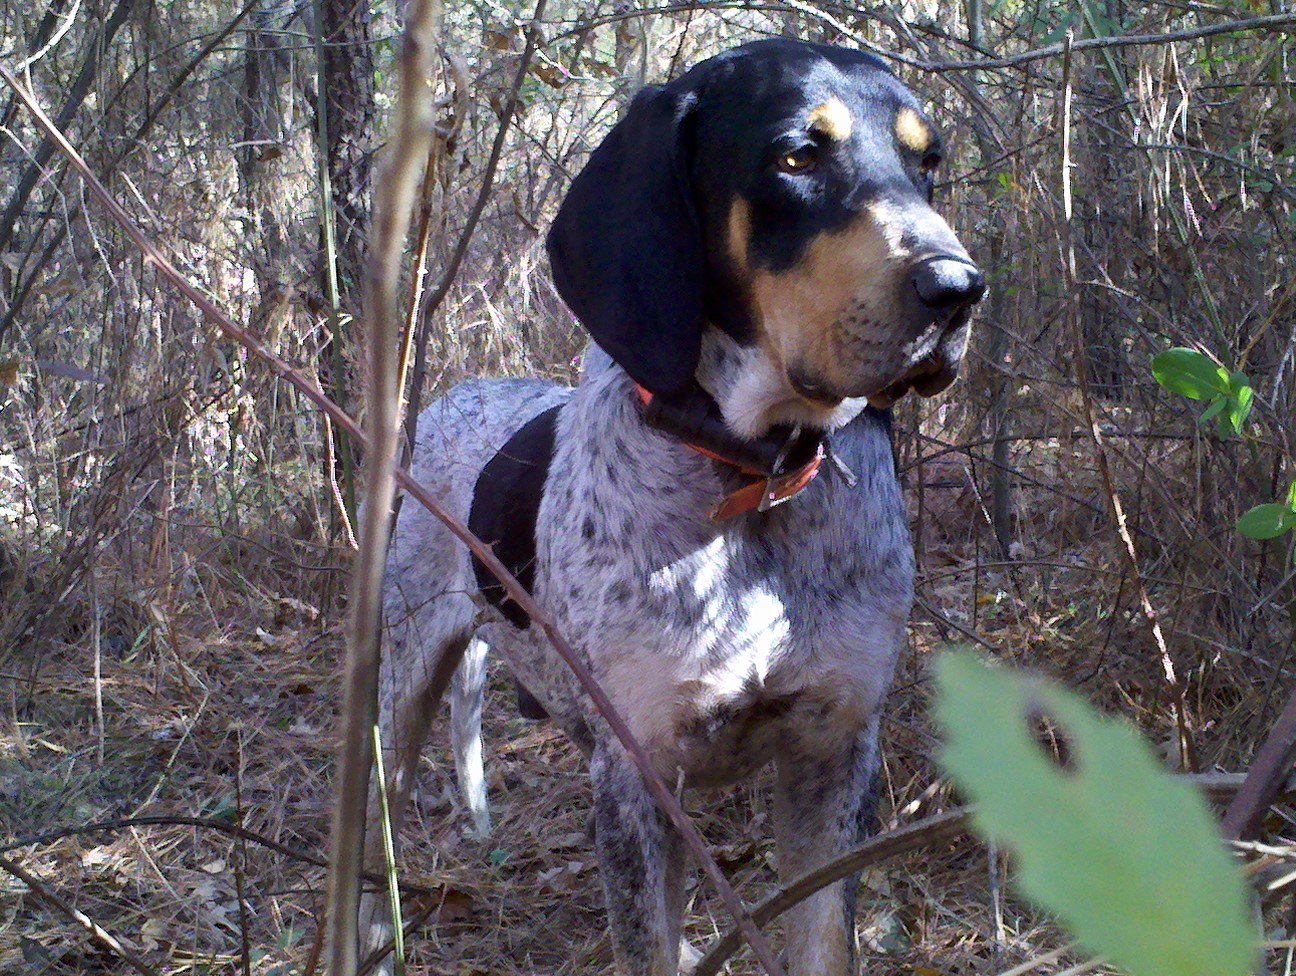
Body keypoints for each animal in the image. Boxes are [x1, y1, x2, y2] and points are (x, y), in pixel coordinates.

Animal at [362, 38, 979, 974]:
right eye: (797, 156)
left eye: (926, 162)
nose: (958, 288)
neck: (755, 480)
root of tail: (458, 395)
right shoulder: (635, 779)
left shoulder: (832, 757)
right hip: (404, 687)